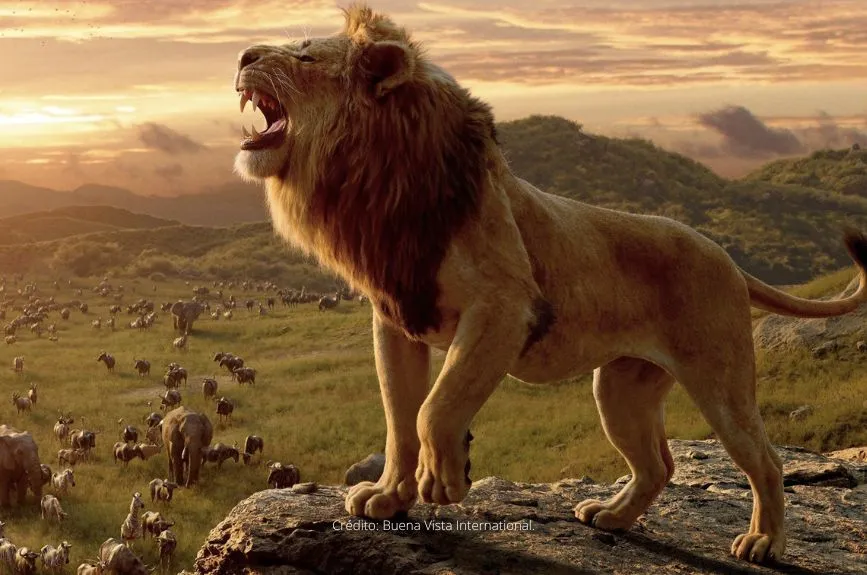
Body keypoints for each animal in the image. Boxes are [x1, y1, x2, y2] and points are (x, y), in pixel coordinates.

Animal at [232, 3, 867, 565]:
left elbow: (435, 407)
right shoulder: (396, 320)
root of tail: (728, 258)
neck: (376, 183)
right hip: (621, 389)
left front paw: (445, 480)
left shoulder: (505, 307)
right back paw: (611, 516)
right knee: (659, 464)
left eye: (305, 55)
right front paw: (389, 497)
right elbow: (398, 418)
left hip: (721, 381)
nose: (241, 55)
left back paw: (763, 543)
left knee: (765, 460)